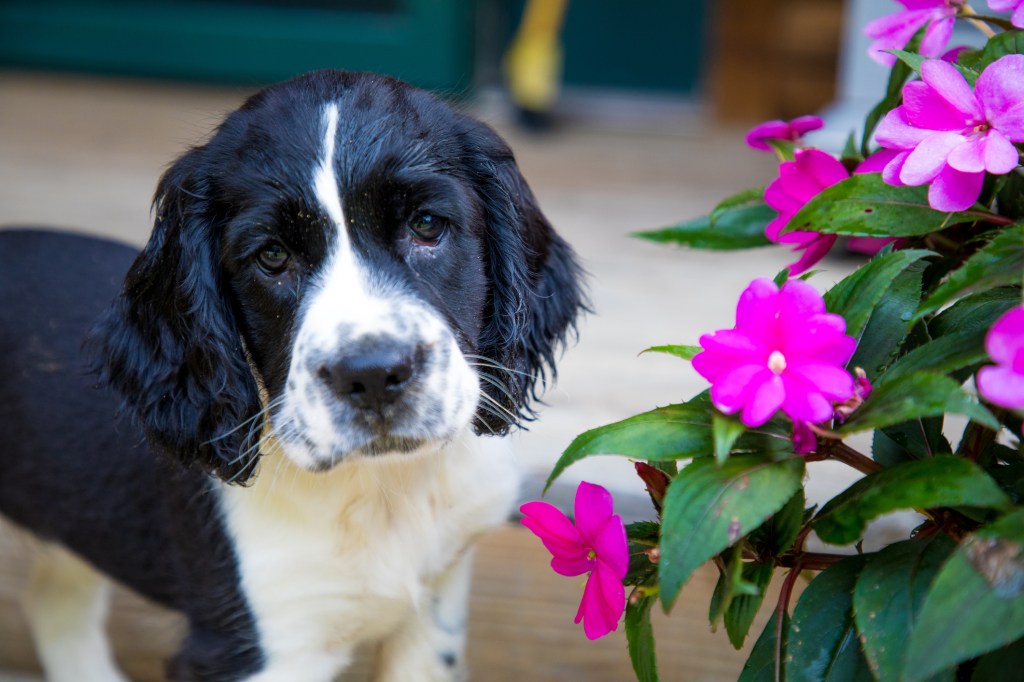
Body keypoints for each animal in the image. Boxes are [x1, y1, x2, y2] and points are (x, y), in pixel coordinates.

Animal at [0, 70, 585, 679]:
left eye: (427, 226)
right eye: (272, 257)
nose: (373, 375)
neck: (380, 491)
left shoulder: (437, 595)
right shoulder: (260, 645)